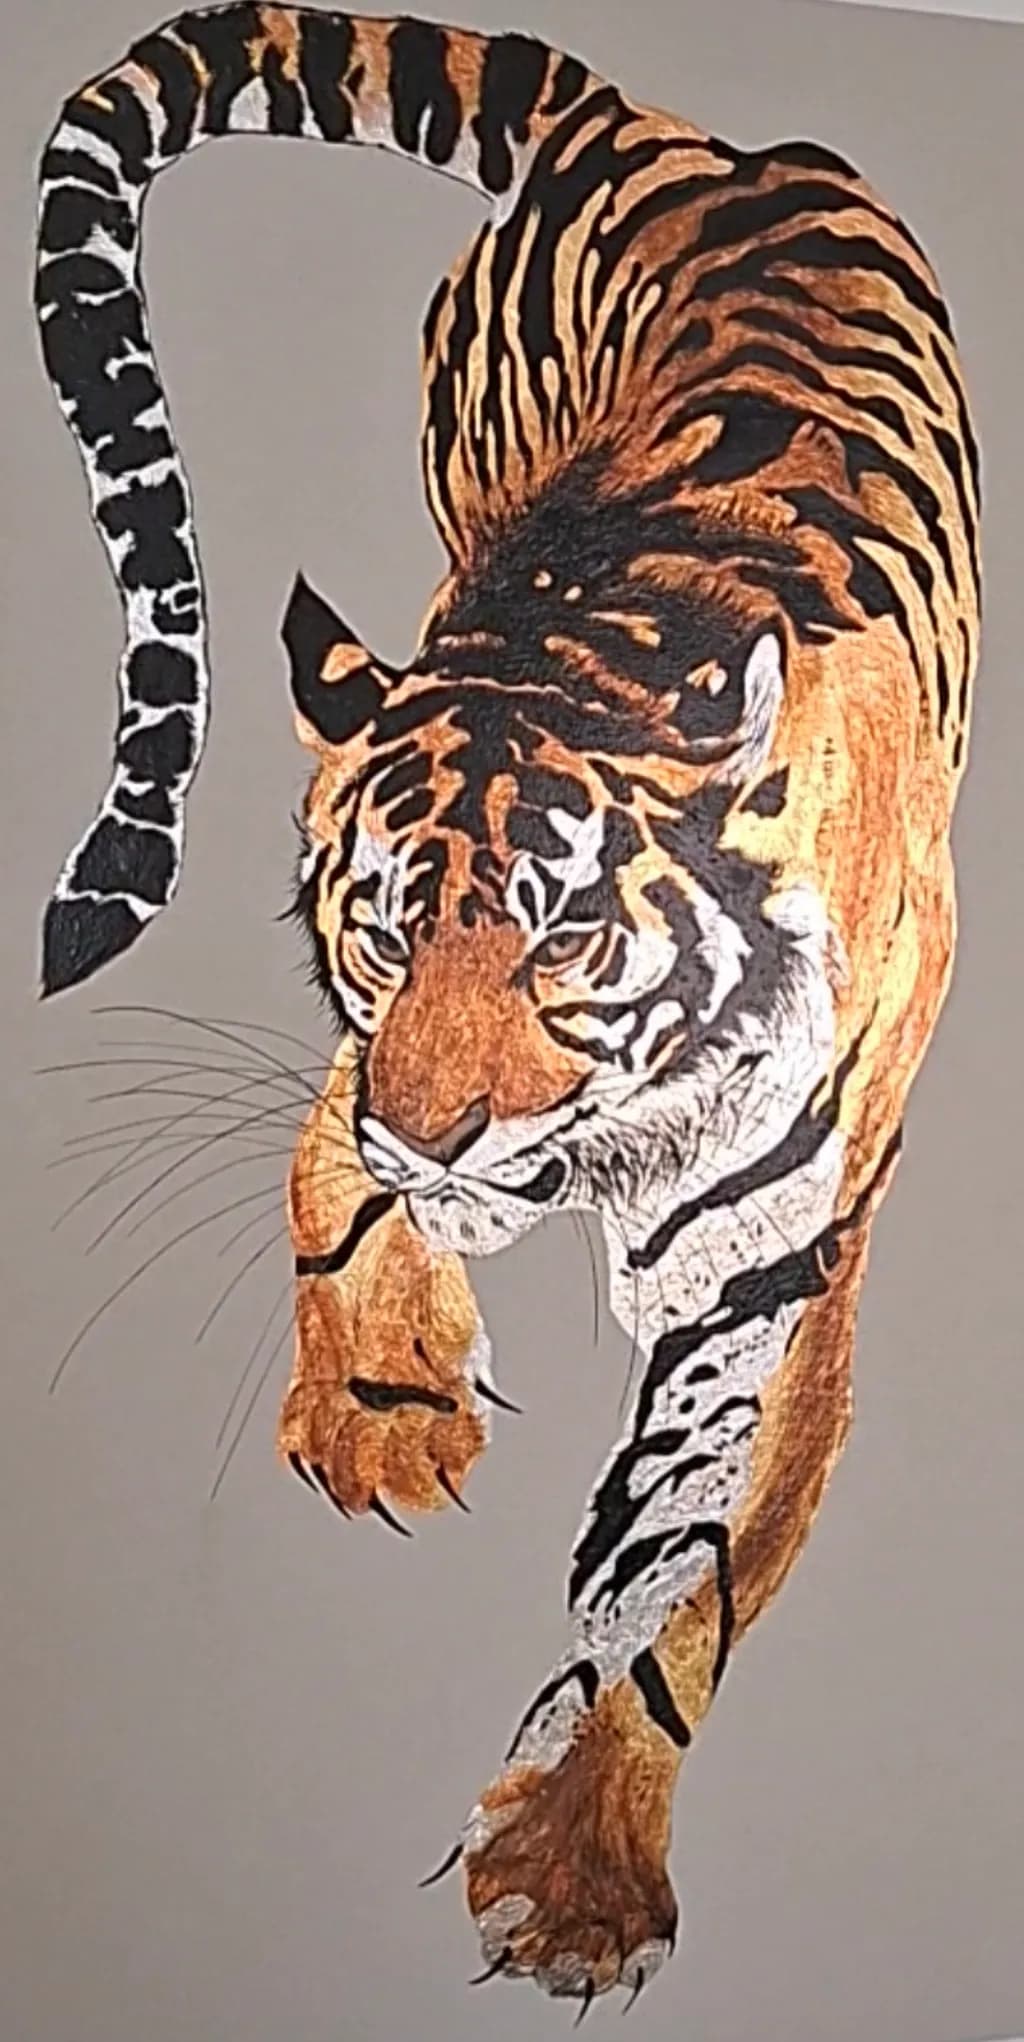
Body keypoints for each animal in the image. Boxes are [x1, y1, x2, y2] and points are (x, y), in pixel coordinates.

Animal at [34, 4, 981, 2010]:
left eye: (564, 944)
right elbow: (323, 1162)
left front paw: (572, 1876)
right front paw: (388, 1395)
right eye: (382, 935)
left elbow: (677, 1573)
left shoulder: (769, 1268)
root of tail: (670, 126)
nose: (442, 1129)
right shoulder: (356, 1060)